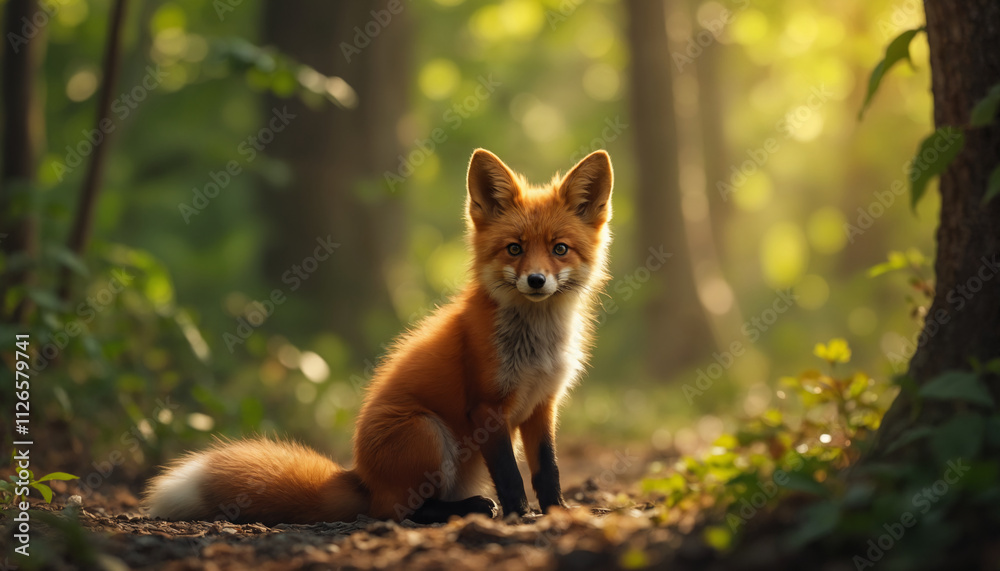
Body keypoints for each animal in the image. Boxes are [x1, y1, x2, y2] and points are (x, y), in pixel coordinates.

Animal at [144, 148, 614, 525]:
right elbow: (512, 476)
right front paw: (520, 515)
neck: (536, 346)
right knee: (397, 511)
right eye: (514, 249)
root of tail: (361, 476)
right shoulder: (487, 406)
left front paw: (558, 512)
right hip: (426, 431)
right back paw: (470, 509)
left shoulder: (542, 406)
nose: (535, 281)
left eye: (559, 249)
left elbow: (547, 470)